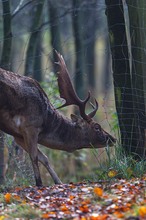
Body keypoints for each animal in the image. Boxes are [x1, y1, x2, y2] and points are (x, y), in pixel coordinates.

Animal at [0, 51, 116, 186]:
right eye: (97, 127)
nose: (113, 139)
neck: (46, 121)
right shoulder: (30, 126)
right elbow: (34, 157)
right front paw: (39, 183)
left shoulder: (18, 135)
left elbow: (44, 158)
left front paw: (58, 181)